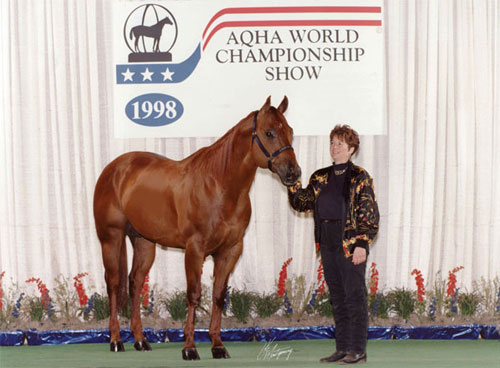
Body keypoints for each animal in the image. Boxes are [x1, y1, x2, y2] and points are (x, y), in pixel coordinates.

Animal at [93, 97, 300, 360]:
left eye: (290, 131)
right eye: (269, 132)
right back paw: (116, 340)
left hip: (144, 241)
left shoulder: (230, 250)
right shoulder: (195, 250)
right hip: (111, 237)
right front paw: (189, 348)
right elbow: (193, 295)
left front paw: (218, 345)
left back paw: (140, 340)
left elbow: (218, 295)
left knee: (135, 282)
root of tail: (114, 169)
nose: (293, 173)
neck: (220, 186)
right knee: (113, 283)